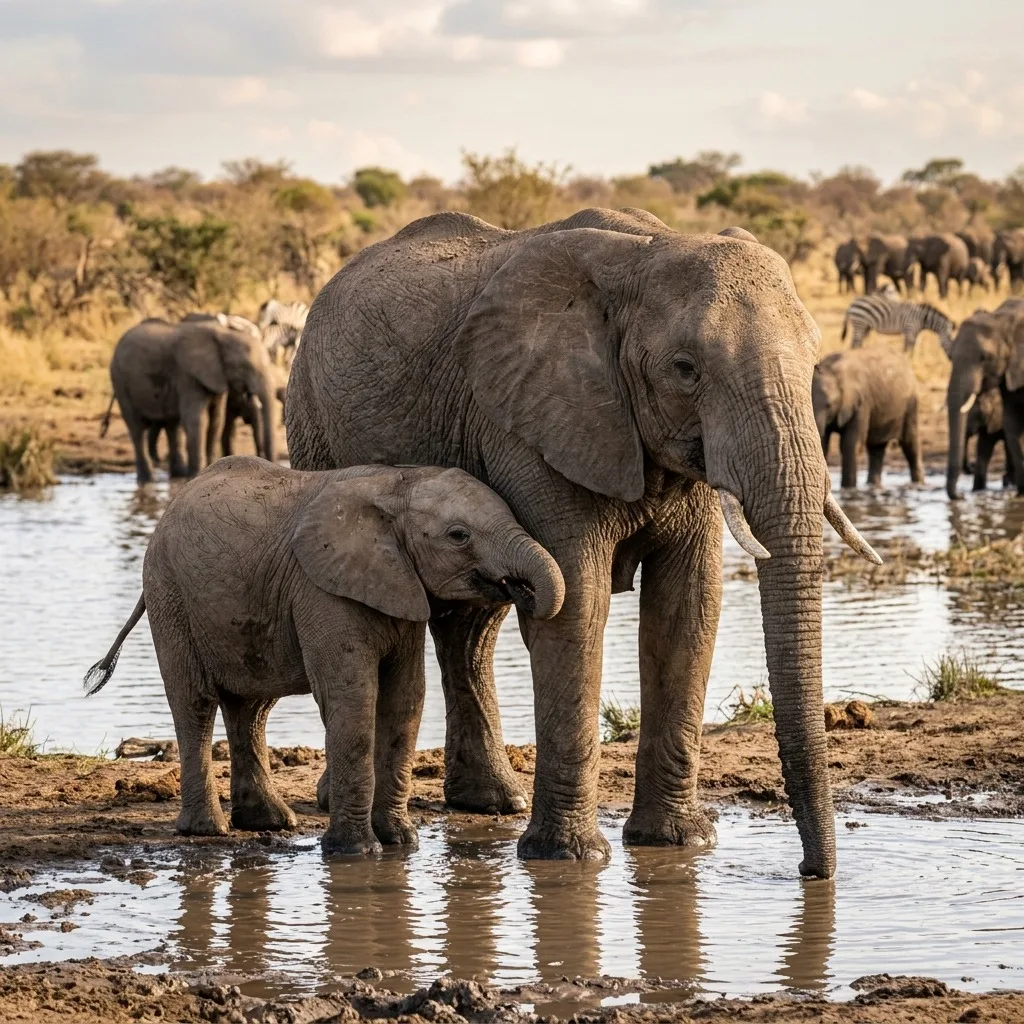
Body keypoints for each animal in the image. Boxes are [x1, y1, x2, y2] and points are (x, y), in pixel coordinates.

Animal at [84, 457, 564, 855]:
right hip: (169, 595)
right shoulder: (322, 589)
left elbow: (405, 700)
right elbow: (352, 699)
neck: (398, 484)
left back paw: (269, 823)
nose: (520, 589)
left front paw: (401, 842)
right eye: (459, 536)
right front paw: (356, 852)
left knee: (251, 708)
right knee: (195, 704)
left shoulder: (400, 586)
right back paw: (208, 830)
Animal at [109, 316, 278, 483]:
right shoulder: (188, 374)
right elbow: (196, 419)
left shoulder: (217, 376)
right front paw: (196, 474)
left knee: (172, 426)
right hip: (120, 381)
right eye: (243, 366)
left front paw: (208, 470)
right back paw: (147, 480)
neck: (224, 335)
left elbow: (216, 419)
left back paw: (178, 475)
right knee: (136, 428)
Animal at [284, 208, 881, 878]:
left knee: (473, 626)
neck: (643, 254)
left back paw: (493, 802)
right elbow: (576, 604)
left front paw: (678, 844)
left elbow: (688, 608)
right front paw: (569, 858)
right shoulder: (533, 422)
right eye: (685, 369)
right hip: (313, 424)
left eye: (814, 359)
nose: (811, 873)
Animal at [812, 348, 924, 488]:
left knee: (910, 445)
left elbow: (851, 443)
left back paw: (918, 484)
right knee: (876, 448)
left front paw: (849, 488)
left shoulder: (862, 402)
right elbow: (825, 443)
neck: (833, 370)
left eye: (829, 405)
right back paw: (873, 486)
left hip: (911, 404)